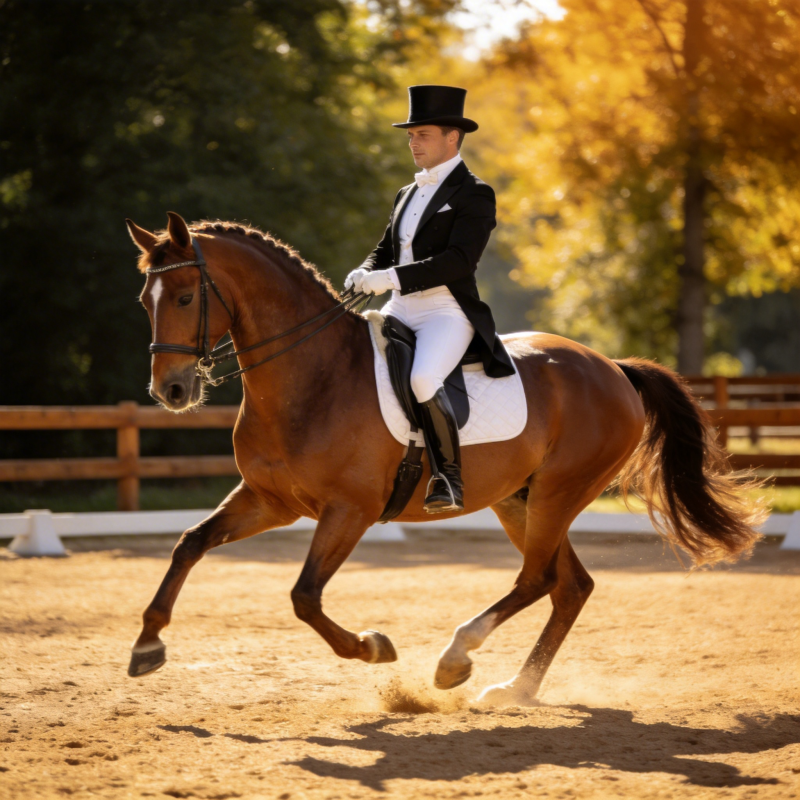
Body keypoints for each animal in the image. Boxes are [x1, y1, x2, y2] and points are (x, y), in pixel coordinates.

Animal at [124, 211, 765, 706]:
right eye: (144, 302)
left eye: (185, 296)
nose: (170, 391)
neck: (312, 376)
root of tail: (612, 367)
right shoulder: (270, 501)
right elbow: (189, 544)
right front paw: (147, 645)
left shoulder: (349, 510)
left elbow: (304, 596)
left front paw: (373, 647)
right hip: (518, 499)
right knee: (570, 586)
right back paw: (517, 689)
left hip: (559, 492)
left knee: (538, 579)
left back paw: (456, 659)